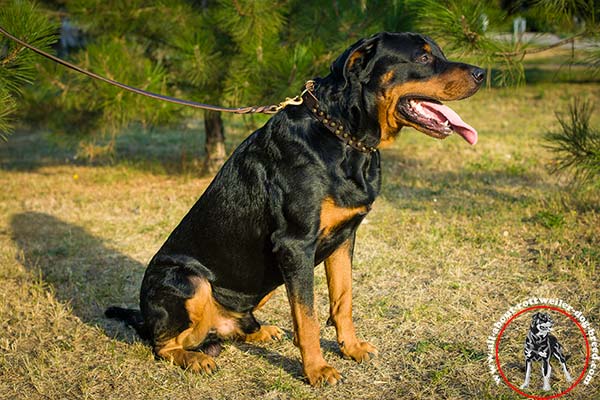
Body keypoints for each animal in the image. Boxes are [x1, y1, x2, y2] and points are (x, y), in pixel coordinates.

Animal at [105, 32, 486, 386]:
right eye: (422, 57)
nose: (482, 73)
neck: (344, 137)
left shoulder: (344, 237)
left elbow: (343, 300)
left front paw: (351, 348)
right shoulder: (295, 245)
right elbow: (308, 318)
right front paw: (317, 370)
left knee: (228, 327)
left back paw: (258, 331)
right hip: (190, 280)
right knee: (162, 344)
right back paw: (195, 359)